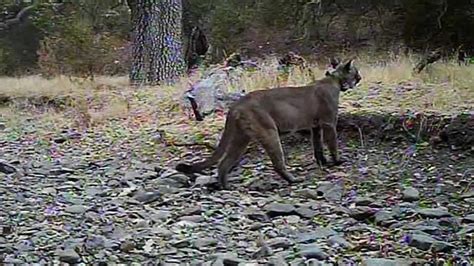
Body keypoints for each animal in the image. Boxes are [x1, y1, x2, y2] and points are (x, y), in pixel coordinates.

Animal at [176, 59, 362, 190]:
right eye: (356, 71)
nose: (360, 78)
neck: (334, 81)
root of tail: (237, 104)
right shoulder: (329, 123)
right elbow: (332, 143)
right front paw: (337, 161)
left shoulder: (315, 127)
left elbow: (318, 147)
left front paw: (323, 162)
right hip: (269, 132)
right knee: (277, 163)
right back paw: (293, 179)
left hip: (241, 138)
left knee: (224, 163)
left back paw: (226, 187)